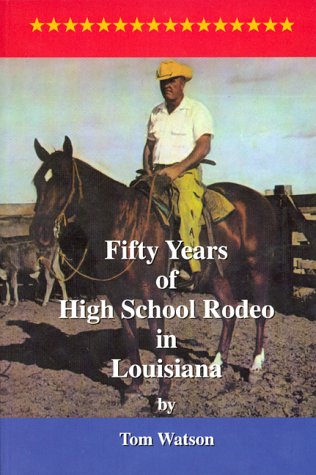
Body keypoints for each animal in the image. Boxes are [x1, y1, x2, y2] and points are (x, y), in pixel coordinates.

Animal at [30, 137, 276, 398]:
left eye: (65, 181)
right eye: (37, 181)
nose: (40, 232)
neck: (125, 222)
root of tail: (261, 200)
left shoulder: (152, 294)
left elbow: (158, 341)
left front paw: (162, 392)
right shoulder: (118, 296)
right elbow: (130, 338)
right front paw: (134, 386)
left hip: (258, 268)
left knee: (260, 313)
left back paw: (255, 366)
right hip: (216, 278)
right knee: (229, 312)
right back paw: (217, 364)